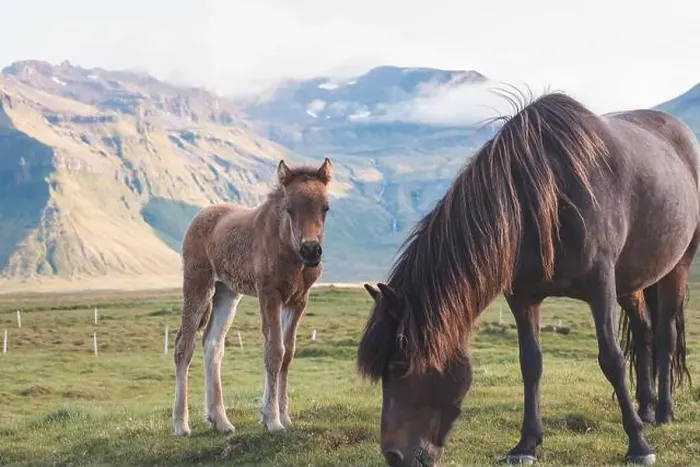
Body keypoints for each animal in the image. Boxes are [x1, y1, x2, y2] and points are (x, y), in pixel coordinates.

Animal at [171, 157, 333, 437]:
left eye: (325, 207)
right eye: (289, 209)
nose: (311, 251)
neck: (286, 246)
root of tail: (199, 216)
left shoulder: (298, 300)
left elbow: (288, 353)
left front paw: (282, 415)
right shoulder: (269, 294)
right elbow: (274, 350)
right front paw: (273, 420)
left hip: (227, 292)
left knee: (212, 344)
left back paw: (221, 420)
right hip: (198, 284)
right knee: (184, 345)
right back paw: (181, 424)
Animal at [356, 91, 700, 466]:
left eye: (400, 365)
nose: (394, 455)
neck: (545, 194)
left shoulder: (600, 287)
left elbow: (611, 359)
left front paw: (638, 444)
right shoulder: (522, 296)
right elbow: (530, 364)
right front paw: (526, 445)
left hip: (676, 268)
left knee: (665, 335)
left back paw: (663, 413)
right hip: (633, 283)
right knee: (643, 332)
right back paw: (646, 409)